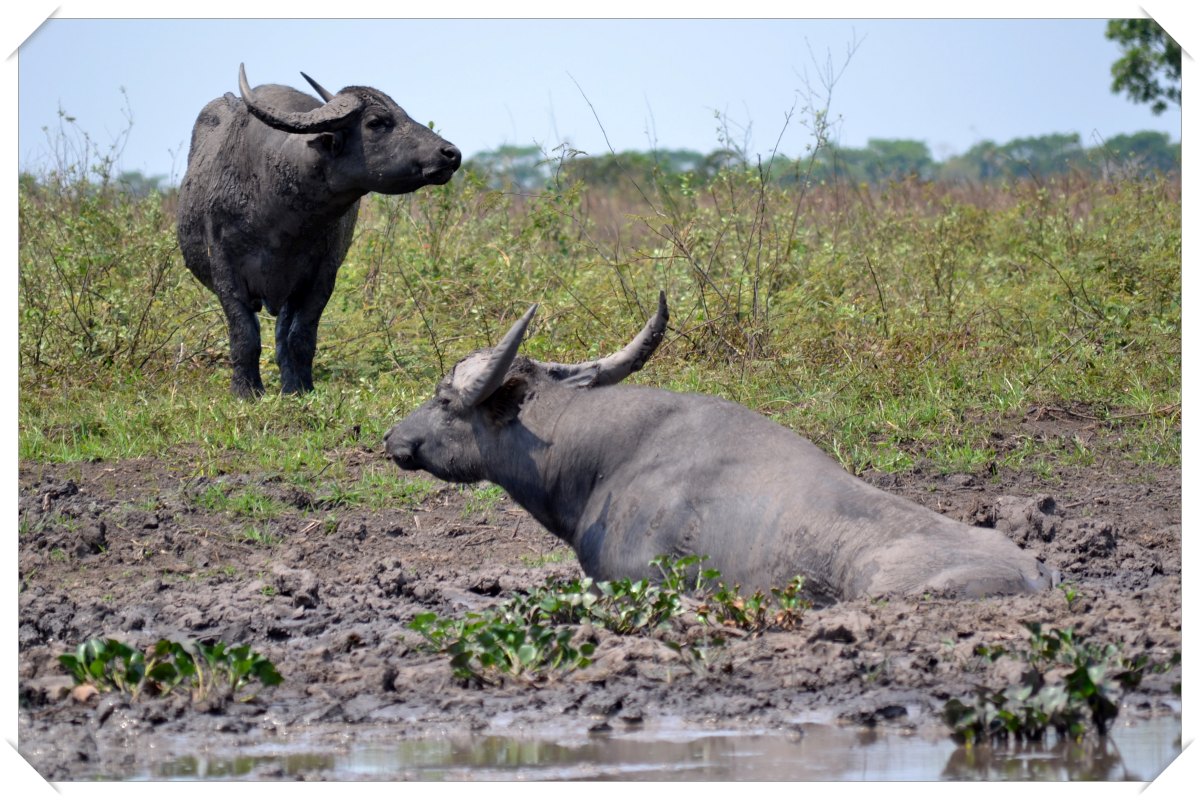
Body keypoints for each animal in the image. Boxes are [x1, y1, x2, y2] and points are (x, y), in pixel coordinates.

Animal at [176, 65, 458, 398]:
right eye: (376, 122)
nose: (451, 153)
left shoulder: (321, 278)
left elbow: (301, 337)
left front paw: (301, 389)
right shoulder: (225, 272)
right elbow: (244, 335)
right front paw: (246, 391)